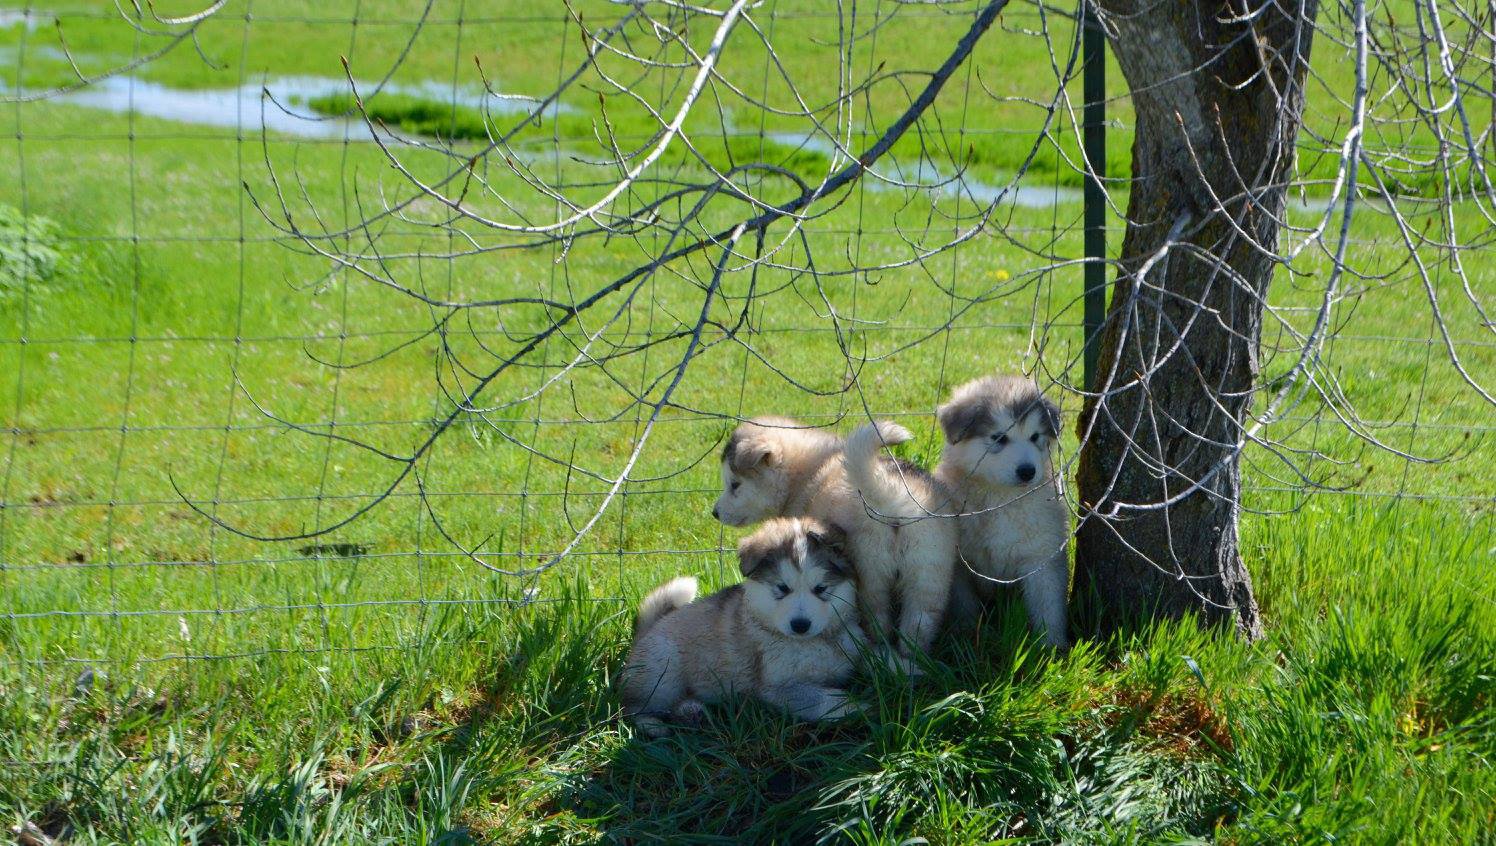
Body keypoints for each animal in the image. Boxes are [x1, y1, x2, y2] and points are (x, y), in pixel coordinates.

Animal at [619, 514, 873, 738]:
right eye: (782, 588)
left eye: (821, 589)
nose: (800, 625)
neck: (813, 641)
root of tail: (644, 632)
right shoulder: (776, 687)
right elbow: (826, 699)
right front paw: (863, 707)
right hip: (663, 670)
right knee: (633, 708)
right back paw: (654, 726)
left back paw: (692, 711)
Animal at [706, 418, 951, 669]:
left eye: (735, 485)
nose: (715, 513)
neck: (806, 473)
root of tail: (890, 495)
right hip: (928, 575)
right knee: (919, 624)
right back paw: (913, 660)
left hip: (871, 577)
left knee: (879, 621)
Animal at [927, 378, 1071, 648]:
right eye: (999, 438)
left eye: (1035, 436)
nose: (1027, 471)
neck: (1001, 497)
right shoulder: (960, 564)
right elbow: (964, 604)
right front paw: (967, 634)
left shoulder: (1042, 554)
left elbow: (1048, 603)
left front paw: (1052, 644)